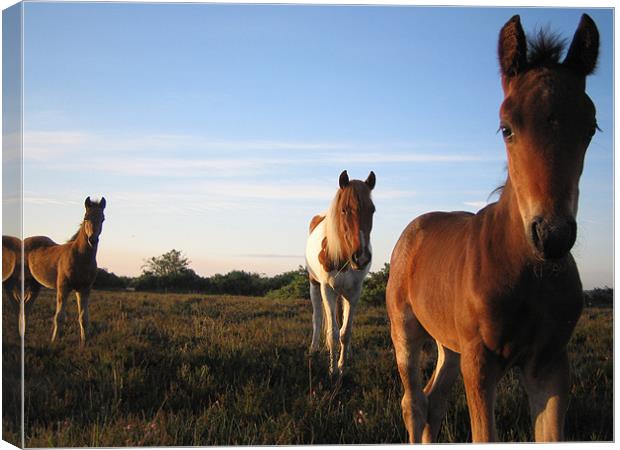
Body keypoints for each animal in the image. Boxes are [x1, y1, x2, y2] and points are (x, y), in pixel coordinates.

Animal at [24, 195, 105, 342]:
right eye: (86, 217)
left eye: (103, 218)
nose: (92, 240)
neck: (80, 257)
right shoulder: (63, 287)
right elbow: (59, 317)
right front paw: (54, 341)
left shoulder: (84, 289)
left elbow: (83, 318)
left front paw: (84, 342)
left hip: (35, 285)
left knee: (26, 306)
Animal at [304, 171, 376, 378]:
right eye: (344, 210)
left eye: (372, 210)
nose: (361, 257)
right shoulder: (327, 289)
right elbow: (333, 333)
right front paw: (332, 370)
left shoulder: (354, 292)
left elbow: (345, 332)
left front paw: (342, 366)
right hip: (315, 285)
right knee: (318, 318)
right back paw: (314, 349)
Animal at [390, 14, 600, 442]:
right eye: (506, 128)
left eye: (590, 128)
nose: (552, 236)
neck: (529, 271)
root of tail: (414, 228)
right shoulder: (480, 361)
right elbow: (483, 433)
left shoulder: (550, 363)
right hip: (405, 330)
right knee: (414, 404)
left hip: (449, 345)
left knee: (434, 402)